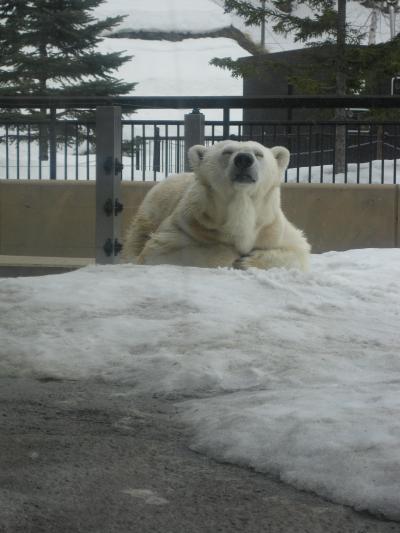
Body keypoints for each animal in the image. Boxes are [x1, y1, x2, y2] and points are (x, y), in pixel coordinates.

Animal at [123, 139, 310, 270]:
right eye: (227, 151)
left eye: (258, 154)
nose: (244, 159)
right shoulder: (191, 223)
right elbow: (160, 248)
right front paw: (234, 256)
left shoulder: (270, 227)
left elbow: (298, 250)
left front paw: (248, 261)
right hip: (153, 207)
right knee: (137, 237)